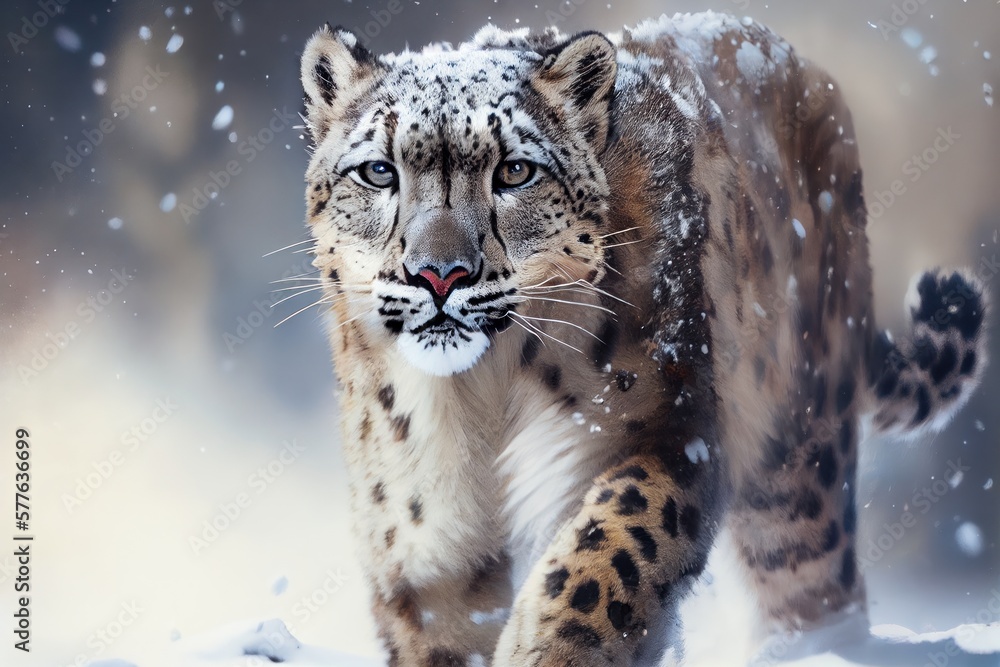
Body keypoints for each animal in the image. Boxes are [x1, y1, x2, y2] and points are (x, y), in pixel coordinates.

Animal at [296, 11, 989, 666]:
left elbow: (608, 548)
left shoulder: (664, 426)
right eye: (378, 171)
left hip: (797, 473)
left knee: (815, 588)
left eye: (514, 171)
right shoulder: (419, 526)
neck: (477, 394)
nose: (439, 273)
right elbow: (441, 630)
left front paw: (553, 650)